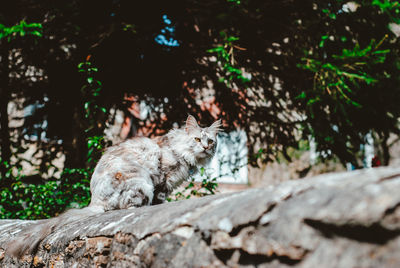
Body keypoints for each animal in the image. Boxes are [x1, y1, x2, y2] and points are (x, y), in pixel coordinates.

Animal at [5, 115, 222, 258]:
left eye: (211, 141)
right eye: (196, 139)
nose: (205, 147)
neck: (181, 151)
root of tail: (95, 201)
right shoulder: (163, 179)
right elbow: (161, 198)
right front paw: (162, 206)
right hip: (142, 182)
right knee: (130, 206)